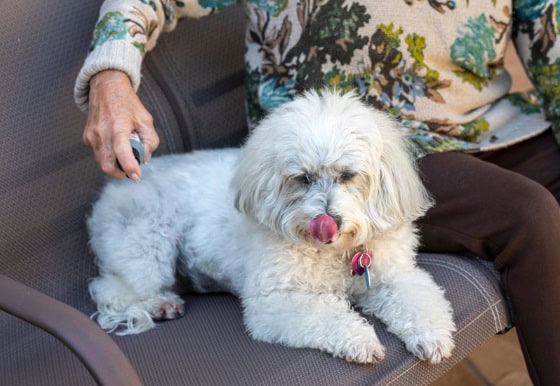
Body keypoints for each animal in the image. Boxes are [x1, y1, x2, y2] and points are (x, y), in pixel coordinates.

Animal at [86, 90, 456, 364]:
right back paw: (161, 304)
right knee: (113, 288)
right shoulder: (274, 302)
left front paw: (433, 336)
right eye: (303, 178)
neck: (335, 253)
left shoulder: (394, 277)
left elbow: (419, 301)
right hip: (146, 244)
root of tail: (116, 185)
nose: (329, 221)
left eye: (348, 175)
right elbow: (326, 316)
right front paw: (361, 340)